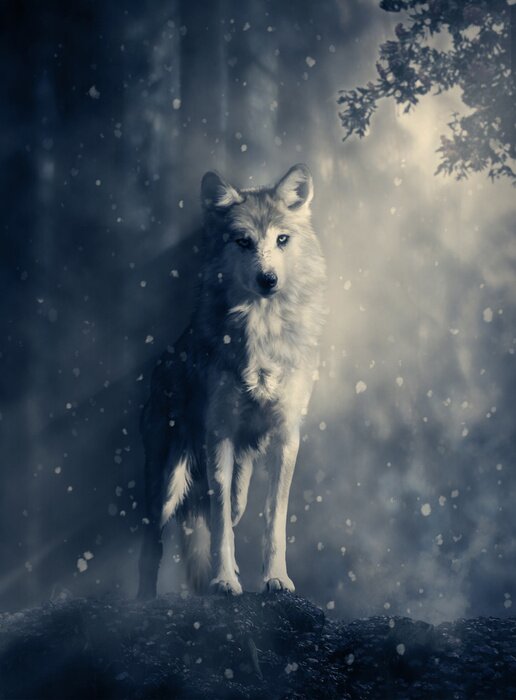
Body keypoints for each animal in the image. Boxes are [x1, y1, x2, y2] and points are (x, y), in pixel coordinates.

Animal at [137, 163, 326, 598]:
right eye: (243, 241)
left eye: (281, 239)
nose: (268, 279)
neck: (263, 332)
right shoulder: (218, 434)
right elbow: (221, 523)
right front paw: (224, 581)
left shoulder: (286, 436)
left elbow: (274, 520)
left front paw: (276, 579)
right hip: (166, 487)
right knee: (153, 543)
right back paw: (144, 599)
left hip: (237, 480)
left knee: (225, 512)